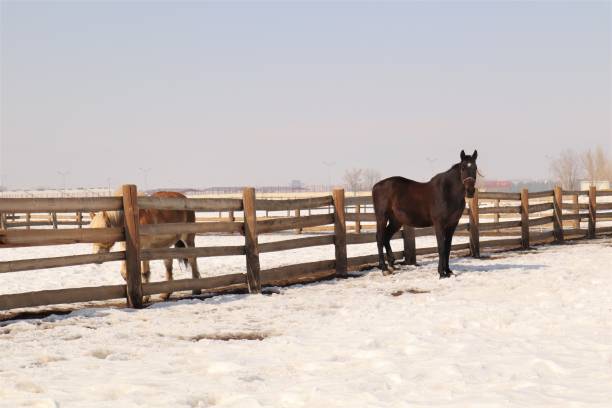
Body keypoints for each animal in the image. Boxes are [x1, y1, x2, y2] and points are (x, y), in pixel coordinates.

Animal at [372, 148, 478, 278]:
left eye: (475, 168)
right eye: (463, 168)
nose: (470, 191)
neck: (447, 192)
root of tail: (376, 186)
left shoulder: (452, 224)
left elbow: (448, 247)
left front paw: (448, 271)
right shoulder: (439, 224)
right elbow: (441, 247)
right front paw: (441, 273)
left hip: (396, 221)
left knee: (386, 237)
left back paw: (391, 265)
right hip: (381, 217)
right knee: (379, 238)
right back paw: (384, 268)